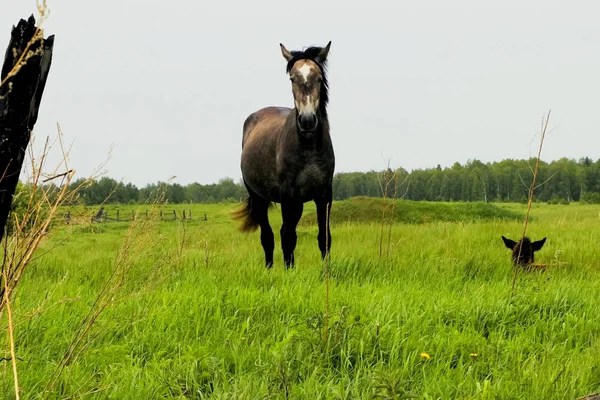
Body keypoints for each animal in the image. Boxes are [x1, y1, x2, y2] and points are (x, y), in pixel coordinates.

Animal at [233, 40, 336, 268]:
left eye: (319, 78)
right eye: (292, 78)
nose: (307, 121)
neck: (308, 148)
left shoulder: (324, 196)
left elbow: (324, 238)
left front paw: (326, 272)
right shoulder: (289, 196)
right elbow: (288, 238)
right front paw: (290, 271)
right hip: (259, 198)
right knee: (268, 236)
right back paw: (269, 268)